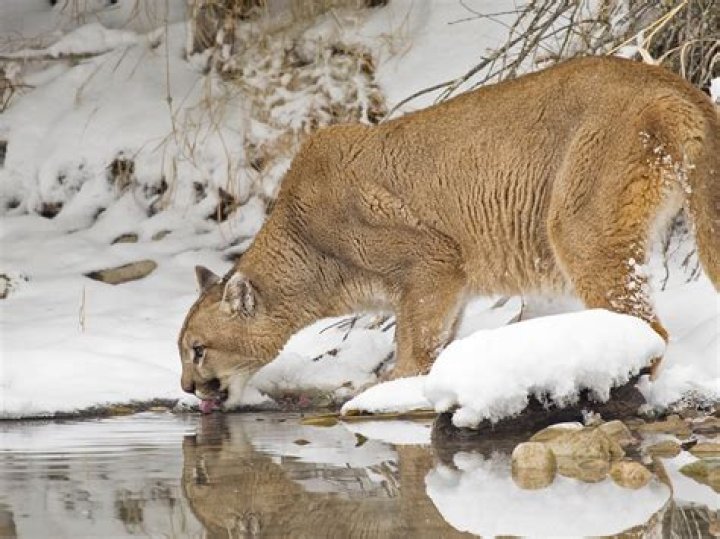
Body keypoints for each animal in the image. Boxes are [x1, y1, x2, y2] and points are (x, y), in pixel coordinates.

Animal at [178, 56, 719, 410]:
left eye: (197, 350)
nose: (185, 386)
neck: (304, 247)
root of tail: (673, 81)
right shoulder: (451, 283)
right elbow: (437, 337)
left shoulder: (432, 260)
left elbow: (414, 343)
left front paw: (388, 392)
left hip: (578, 226)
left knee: (649, 327)